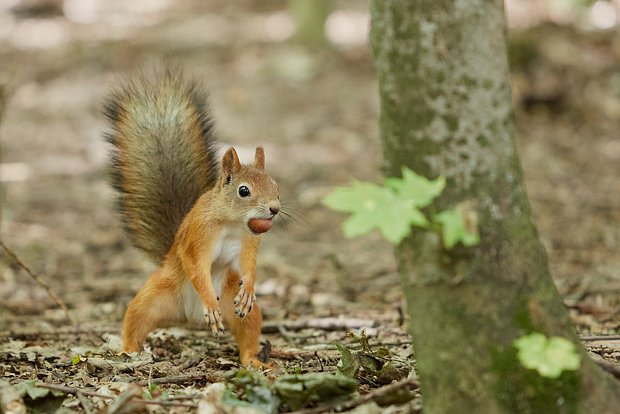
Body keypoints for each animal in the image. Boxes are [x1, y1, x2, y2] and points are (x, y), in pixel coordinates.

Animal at [104, 67, 280, 366]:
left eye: (275, 185)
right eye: (244, 191)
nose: (274, 209)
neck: (231, 224)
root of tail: (189, 318)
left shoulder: (249, 241)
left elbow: (249, 264)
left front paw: (249, 287)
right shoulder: (199, 235)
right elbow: (196, 265)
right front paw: (208, 298)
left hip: (239, 308)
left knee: (248, 332)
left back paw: (253, 360)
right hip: (155, 295)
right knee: (135, 319)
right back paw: (127, 349)